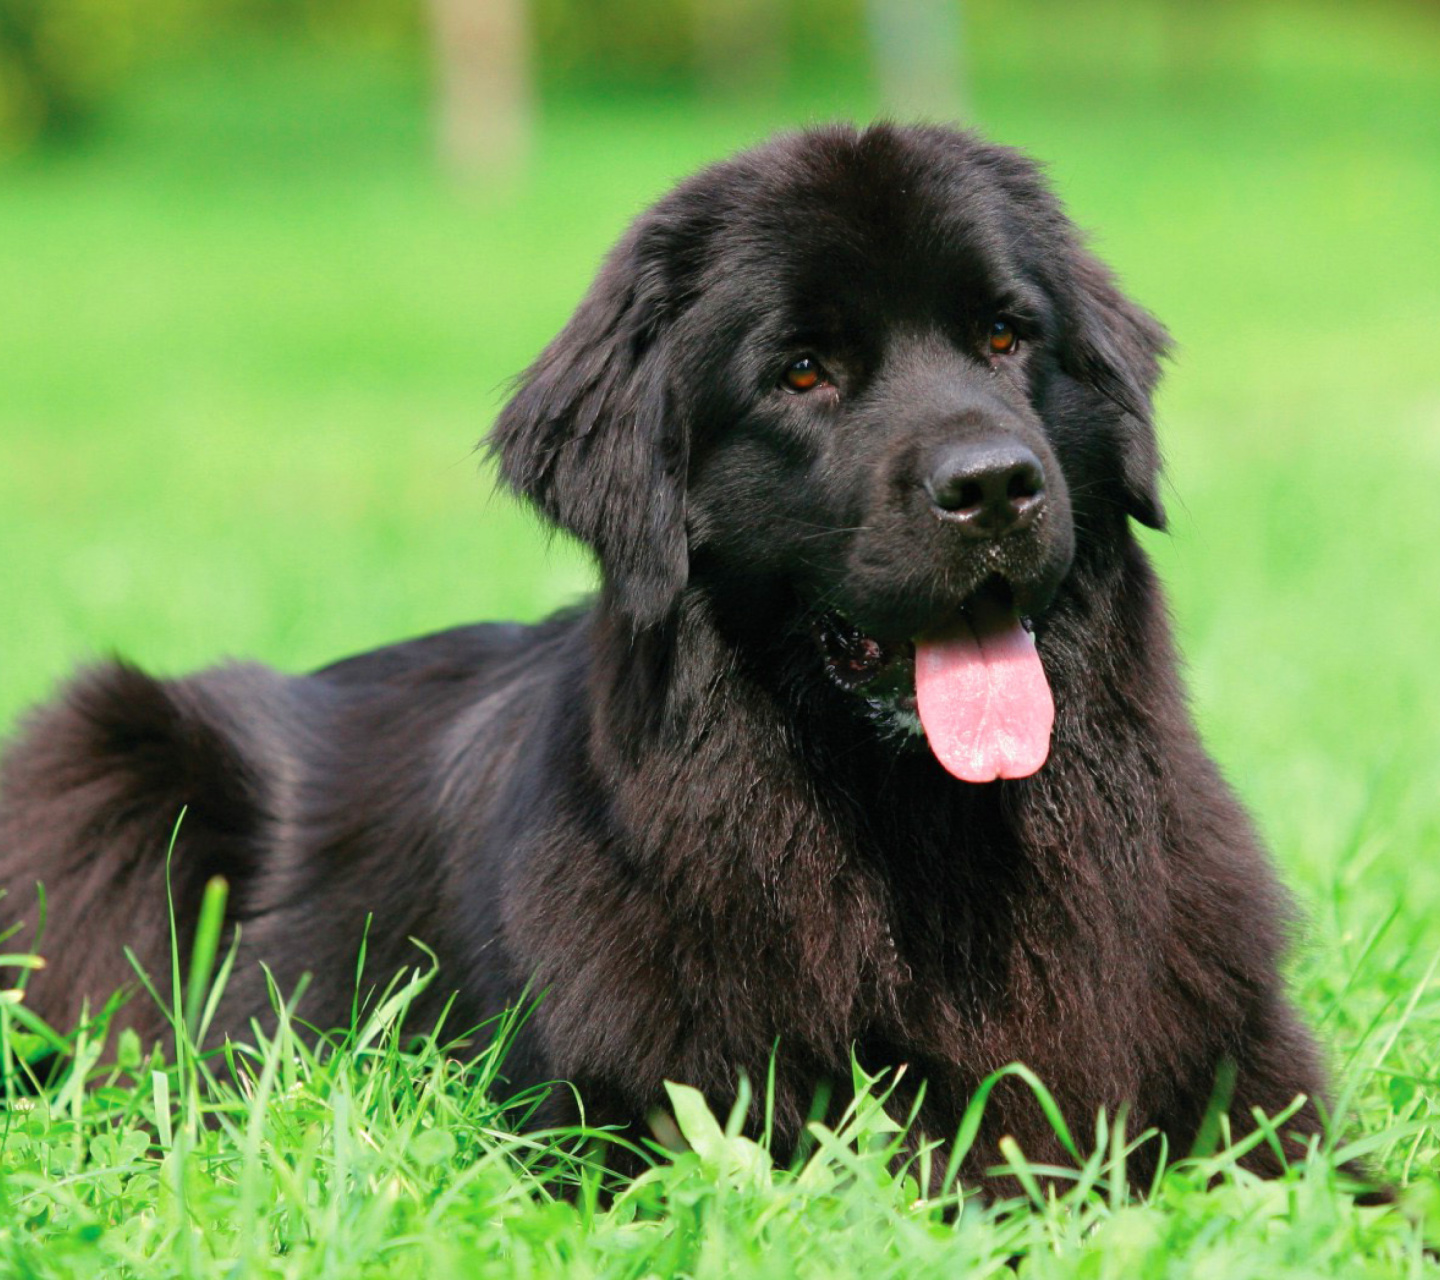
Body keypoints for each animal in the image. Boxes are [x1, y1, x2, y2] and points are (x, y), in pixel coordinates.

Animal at [0, 124, 1370, 1192]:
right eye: (804, 371)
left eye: (1003, 337)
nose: (993, 484)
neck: (926, 837)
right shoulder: (637, 1112)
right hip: (109, 750)